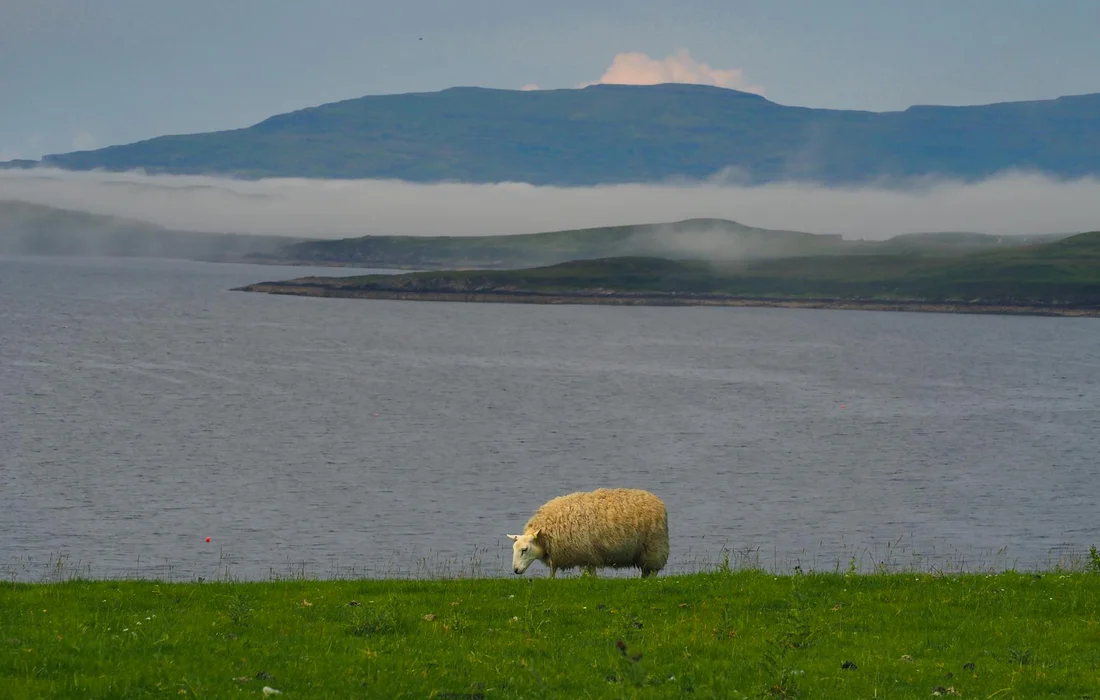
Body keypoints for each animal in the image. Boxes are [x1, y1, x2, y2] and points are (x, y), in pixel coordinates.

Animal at [507, 488, 669, 578]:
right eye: (514, 549)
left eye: (525, 549)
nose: (515, 570)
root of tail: (654, 498)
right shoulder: (559, 555)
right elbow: (552, 573)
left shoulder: (586, 554)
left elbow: (590, 574)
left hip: (653, 548)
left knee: (651, 571)